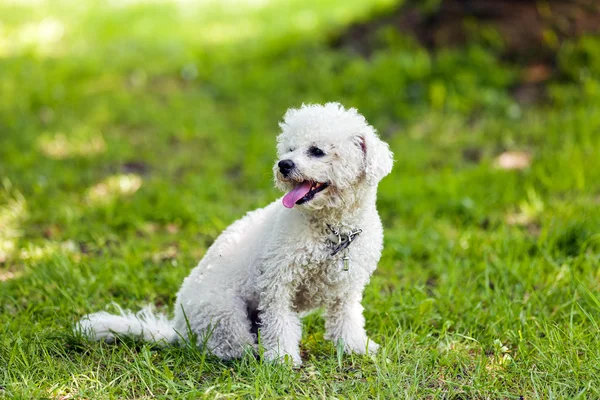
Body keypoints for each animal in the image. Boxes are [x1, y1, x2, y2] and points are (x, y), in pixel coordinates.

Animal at [78, 103, 394, 366]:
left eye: (316, 150)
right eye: (289, 149)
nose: (284, 165)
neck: (331, 229)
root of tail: (178, 330)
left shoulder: (347, 290)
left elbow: (347, 320)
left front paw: (356, 347)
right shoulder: (277, 285)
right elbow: (279, 325)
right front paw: (282, 359)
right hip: (224, 311)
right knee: (225, 346)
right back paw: (251, 352)